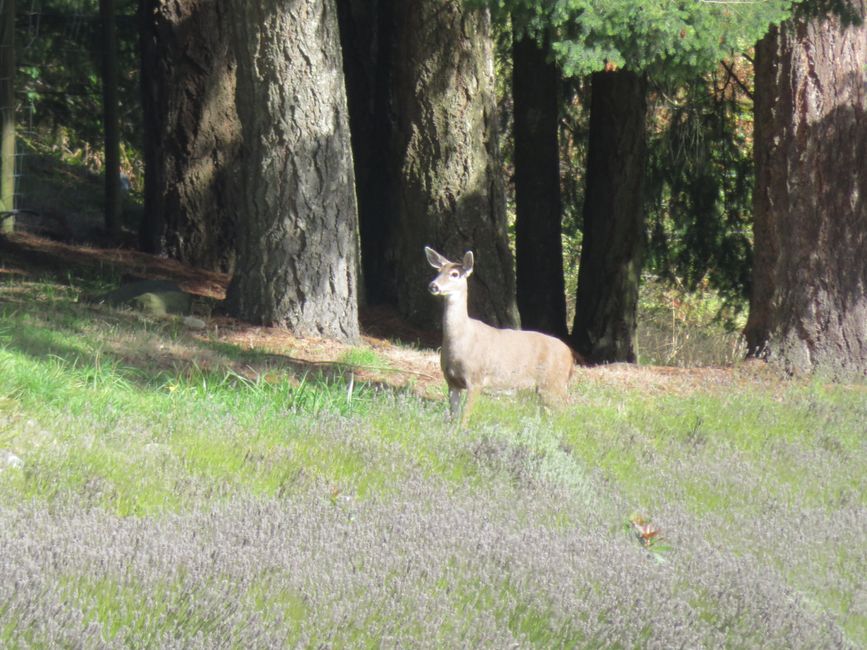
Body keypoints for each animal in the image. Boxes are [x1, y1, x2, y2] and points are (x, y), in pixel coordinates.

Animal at [426, 247, 580, 426]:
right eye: (438, 271)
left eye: (455, 274)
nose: (433, 285)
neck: (461, 341)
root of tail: (570, 356)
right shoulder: (451, 381)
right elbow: (454, 417)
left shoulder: (476, 377)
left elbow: (465, 418)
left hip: (554, 382)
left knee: (566, 412)